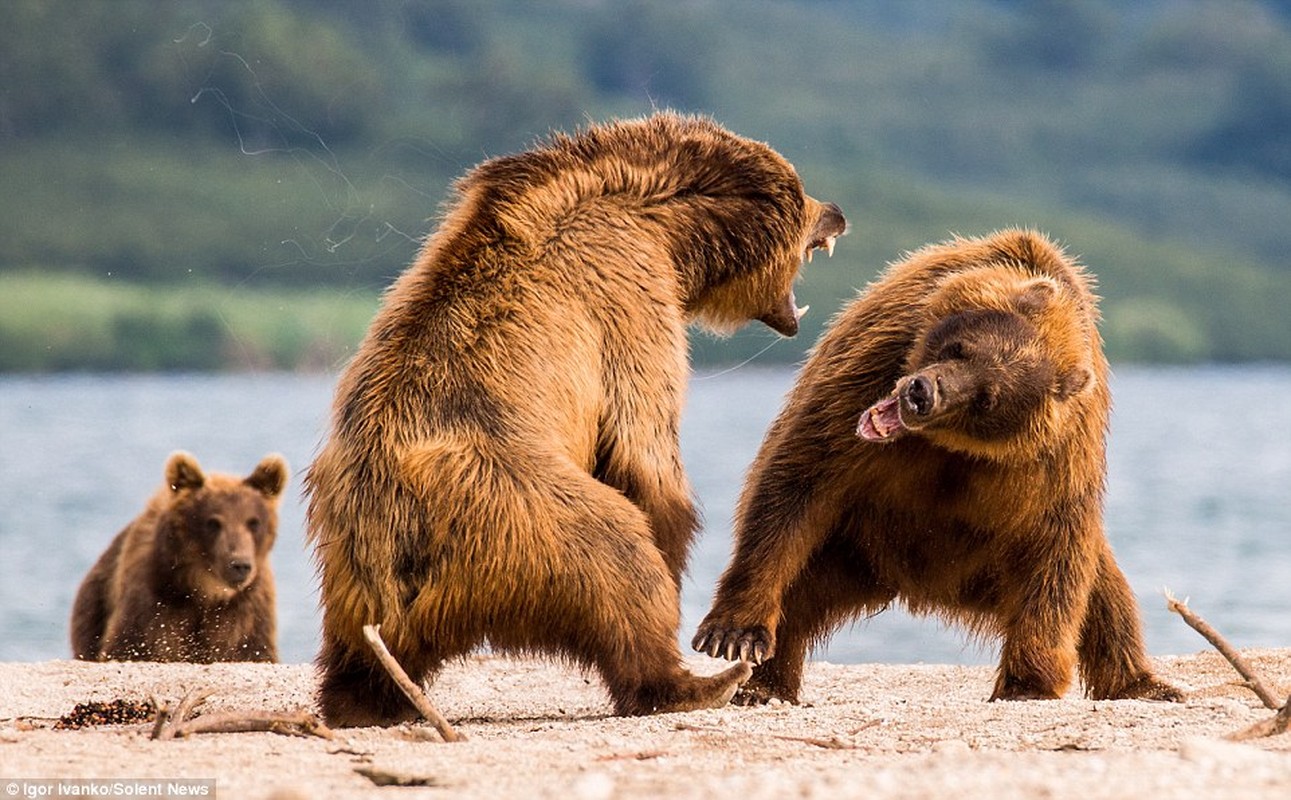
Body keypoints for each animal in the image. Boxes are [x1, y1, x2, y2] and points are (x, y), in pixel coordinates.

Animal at [70, 449, 287, 660]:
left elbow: (251, 650)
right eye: (213, 522)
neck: (205, 591)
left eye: (254, 522)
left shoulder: (246, 615)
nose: (240, 564)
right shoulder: (153, 604)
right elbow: (131, 644)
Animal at [302, 112, 846, 722]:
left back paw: (360, 702)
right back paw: (698, 682)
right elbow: (645, 452)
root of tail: (400, 538)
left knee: (357, 660)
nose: (837, 212)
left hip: (348, 568)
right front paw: (675, 545)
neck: (664, 227)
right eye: (803, 194)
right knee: (615, 555)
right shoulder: (627, 296)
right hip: (517, 510)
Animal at [697, 228, 1182, 701]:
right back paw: (761, 684)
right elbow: (800, 478)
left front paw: (1028, 684)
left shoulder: (1056, 457)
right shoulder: (872, 365)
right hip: (845, 544)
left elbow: (1056, 550)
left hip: (984, 560)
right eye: (961, 349)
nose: (921, 393)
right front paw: (735, 633)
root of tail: (919, 586)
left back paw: (1143, 684)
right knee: (796, 594)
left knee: (1103, 594)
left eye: (987, 397)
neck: (951, 447)